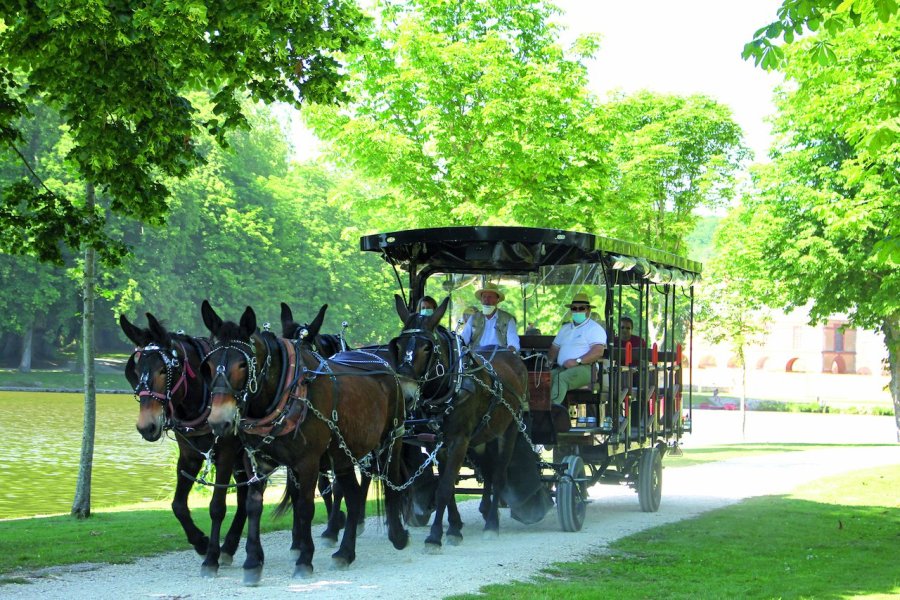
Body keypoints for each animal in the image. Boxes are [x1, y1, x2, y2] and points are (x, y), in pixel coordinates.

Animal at [118, 312, 250, 576]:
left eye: (164, 369)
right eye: (135, 370)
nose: (146, 426)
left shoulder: (226, 453)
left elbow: (217, 506)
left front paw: (211, 556)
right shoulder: (189, 455)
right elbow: (178, 505)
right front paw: (200, 542)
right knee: (244, 494)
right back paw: (230, 545)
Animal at [202, 302, 410, 584]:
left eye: (243, 364)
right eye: (209, 364)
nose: (219, 421)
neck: (284, 394)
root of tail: (384, 364)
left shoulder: (308, 462)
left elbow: (304, 507)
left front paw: (304, 558)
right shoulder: (256, 460)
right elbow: (253, 506)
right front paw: (253, 561)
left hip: (392, 439)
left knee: (392, 483)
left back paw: (397, 534)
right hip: (343, 456)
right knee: (354, 496)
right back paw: (345, 552)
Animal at [392, 292, 528, 552]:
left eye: (427, 347)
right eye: (399, 345)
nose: (406, 394)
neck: (451, 384)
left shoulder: (459, 441)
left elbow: (445, 487)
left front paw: (435, 536)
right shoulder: (438, 443)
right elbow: (447, 487)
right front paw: (454, 527)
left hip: (509, 430)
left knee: (498, 474)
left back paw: (492, 524)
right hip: (484, 437)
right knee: (488, 471)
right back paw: (486, 510)